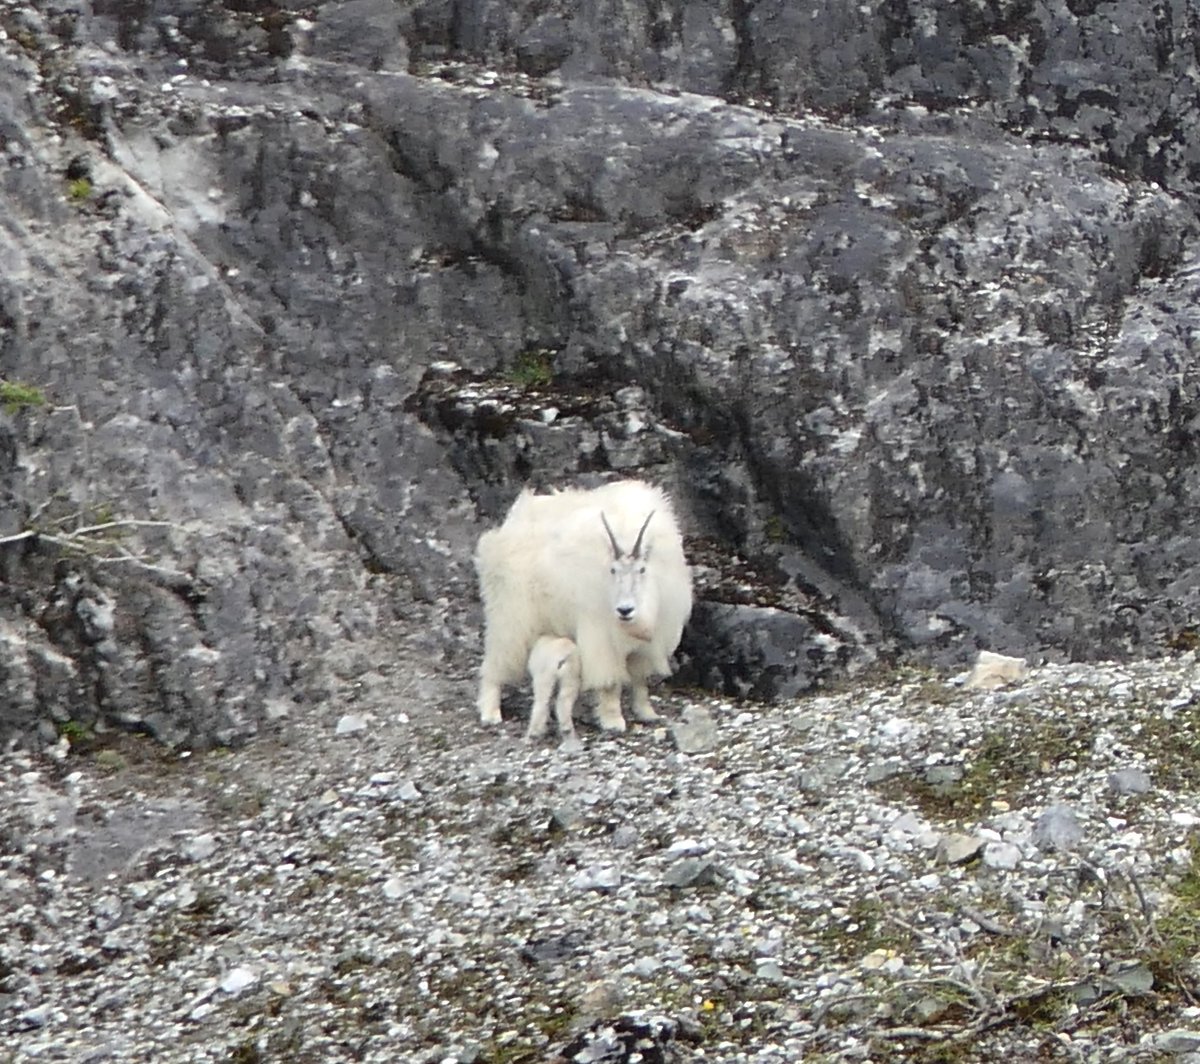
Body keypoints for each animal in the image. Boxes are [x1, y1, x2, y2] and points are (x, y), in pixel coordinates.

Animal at [475, 479, 692, 734]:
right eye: (612, 570)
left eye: (642, 569)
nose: (625, 611)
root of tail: (508, 526)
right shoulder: (602, 637)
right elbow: (610, 683)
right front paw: (613, 721)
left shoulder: (648, 643)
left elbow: (640, 679)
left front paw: (647, 712)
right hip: (510, 613)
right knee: (497, 660)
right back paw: (490, 712)